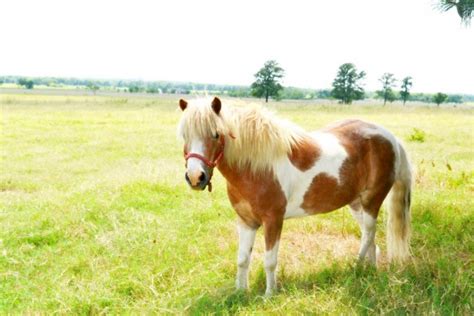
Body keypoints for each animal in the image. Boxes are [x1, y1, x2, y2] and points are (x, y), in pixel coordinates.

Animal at [177, 97, 412, 296]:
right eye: (184, 136)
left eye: (216, 134)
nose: (196, 177)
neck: (257, 166)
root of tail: (391, 138)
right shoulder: (246, 221)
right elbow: (242, 259)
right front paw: (240, 292)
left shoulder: (273, 220)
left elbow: (270, 261)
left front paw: (269, 295)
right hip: (356, 203)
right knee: (369, 236)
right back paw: (369, 270)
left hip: (373, 200)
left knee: (369, 233)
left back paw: (355, 267)